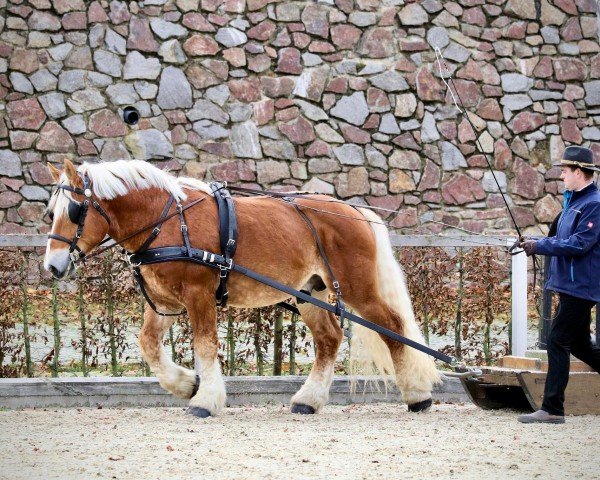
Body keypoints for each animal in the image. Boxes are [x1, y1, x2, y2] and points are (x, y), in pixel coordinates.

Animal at [44, 160, 438, 416]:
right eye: (51, 212)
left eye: (76, 211)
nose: (52, 266)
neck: (166, 221)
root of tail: (354, 211)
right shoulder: (166, 303)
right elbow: (149, 344)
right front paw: (185, 384)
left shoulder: (199, 296)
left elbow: (205, 345)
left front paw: (205, 400)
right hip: (310, 293)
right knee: (330, 338)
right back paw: (308, 400)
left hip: (358, 290)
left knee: (392, 327)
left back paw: (417, 395)